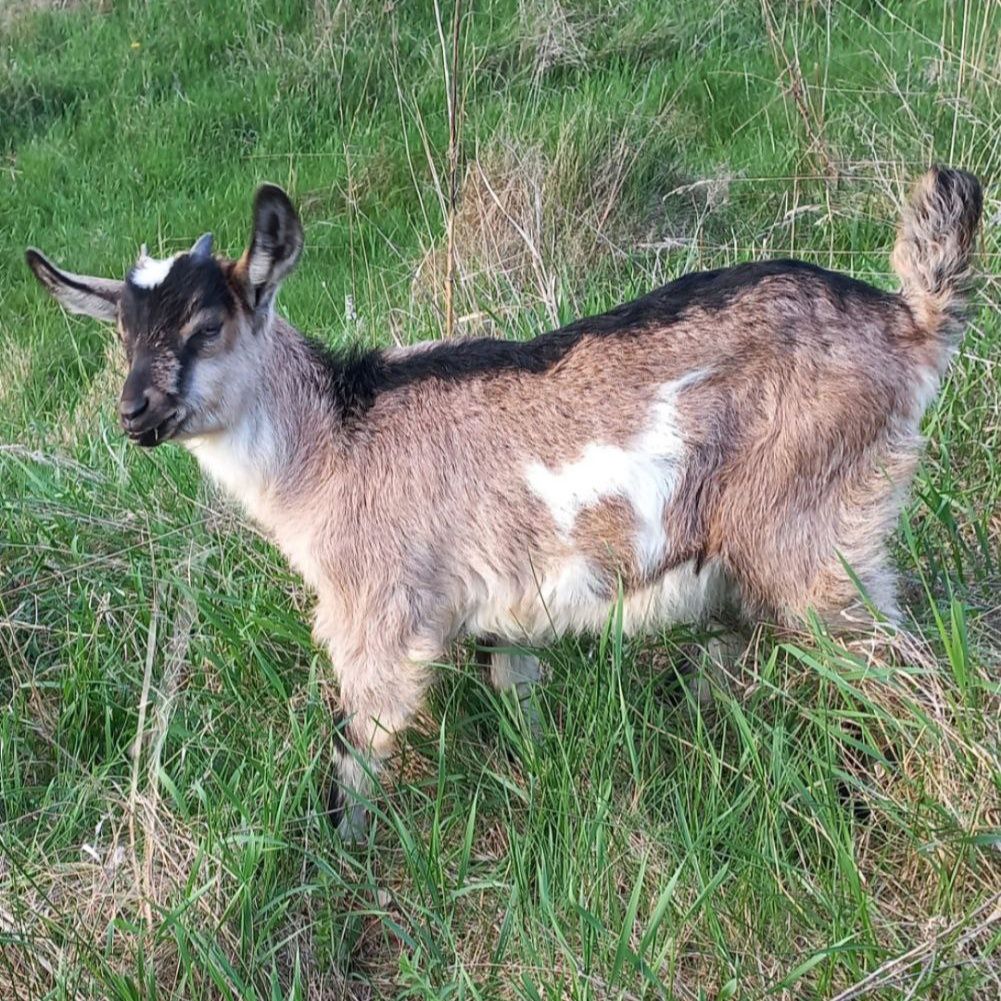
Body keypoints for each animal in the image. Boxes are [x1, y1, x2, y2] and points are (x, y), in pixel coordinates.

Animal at [25, 166, 984, 836]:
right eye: (121, 336)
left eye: (206, 326)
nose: (134, 413)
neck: (335, 440)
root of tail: (908, 321)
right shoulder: (504, 606)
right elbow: (516, 691)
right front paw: (539, 780)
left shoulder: (380, 611)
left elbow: (355, 749)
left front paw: (335, 862)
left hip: (816, 537)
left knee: (909, 676)